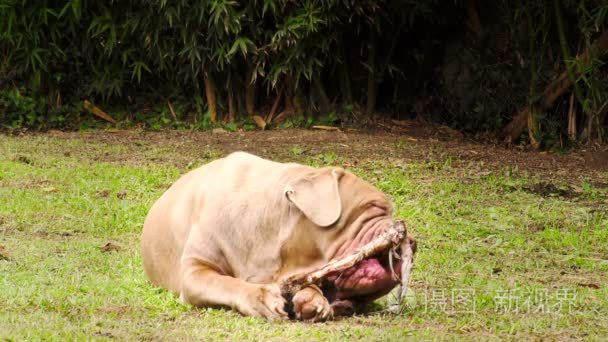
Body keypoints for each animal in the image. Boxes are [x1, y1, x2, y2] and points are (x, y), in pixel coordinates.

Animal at [140, 152, 410, 320]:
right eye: (375, 208)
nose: (408, 236)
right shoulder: (195, 272)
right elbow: (225, 282)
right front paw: (260, 297)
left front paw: (313, 299)